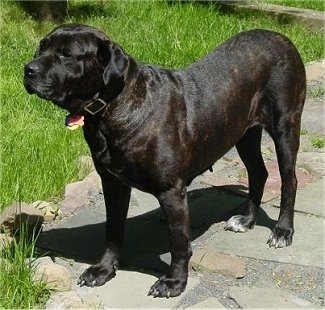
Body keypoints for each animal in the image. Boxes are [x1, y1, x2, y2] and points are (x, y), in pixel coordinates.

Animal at [24, 24, 306, 298]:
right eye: (41, 48)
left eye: (66, 54)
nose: (28, 69)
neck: (112, 107)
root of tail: (281, 38)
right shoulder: (113, 184)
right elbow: (113, 231)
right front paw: (103, 269)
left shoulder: (171, 191)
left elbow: (178, 242)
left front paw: (174, 282)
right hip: (243, 134)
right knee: (259, 173)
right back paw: (246, 220)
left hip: (286, 128)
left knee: (289, 181)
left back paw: (283, 231)